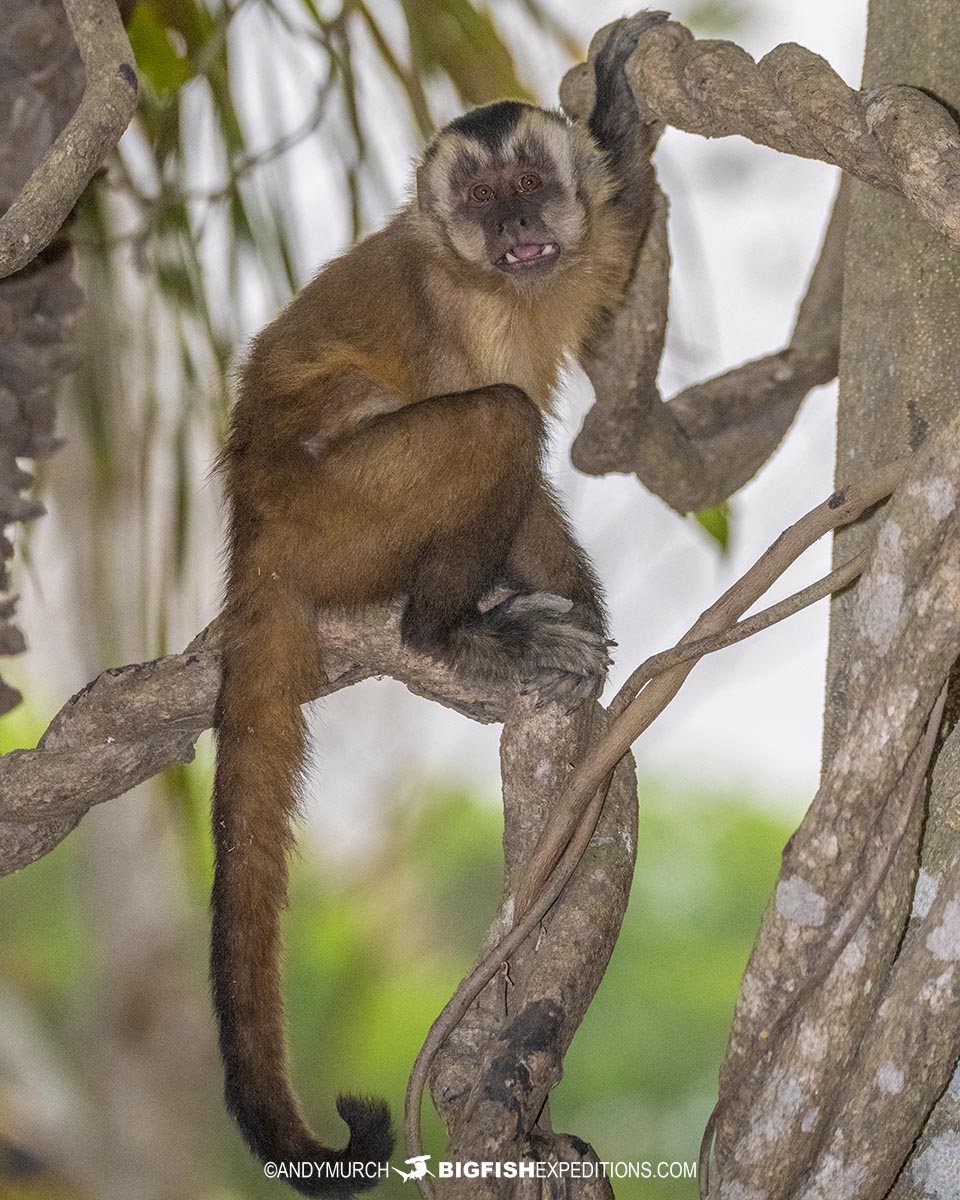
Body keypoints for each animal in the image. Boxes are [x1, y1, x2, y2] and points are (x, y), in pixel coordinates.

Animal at [212, 14, 657, 1195]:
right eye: (485, 200)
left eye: (530, 189)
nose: (518, 232)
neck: (505, 286)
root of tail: (252, 525)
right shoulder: (467, 306)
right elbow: (511, 431)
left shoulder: (588, 249)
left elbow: (622, 219)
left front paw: (618, 119)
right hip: (335, 516)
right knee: (494, 421)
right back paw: (448, 628)